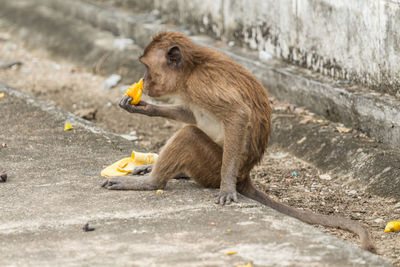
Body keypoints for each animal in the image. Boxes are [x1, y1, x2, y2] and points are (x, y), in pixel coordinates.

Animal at [101, 31, 376, 253]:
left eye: (147, 67)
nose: (144, 81)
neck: (191, 70)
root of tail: (245, 175)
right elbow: (191, 114)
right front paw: (144, 108)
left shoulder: (203, 84)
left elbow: (237, 115)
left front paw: (226, 188)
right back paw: (172, 172)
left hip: (212, 164)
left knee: (190, 136)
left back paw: (151, 182)